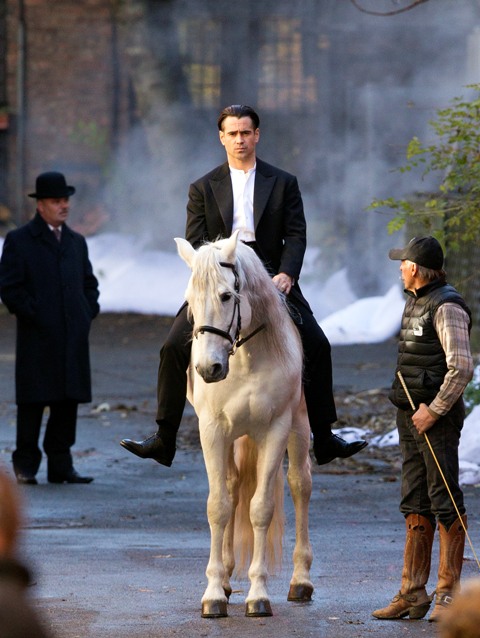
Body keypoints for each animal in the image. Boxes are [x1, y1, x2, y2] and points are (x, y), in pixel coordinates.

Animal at [174, 231, 314, 620]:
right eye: (190, 301)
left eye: (226, 296)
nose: (208, 369)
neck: (247, 360)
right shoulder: (212, 431)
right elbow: (219, 506)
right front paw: (213, 594)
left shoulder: (276, 429)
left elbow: (260, 508)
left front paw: (258, 595)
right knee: (233, 487)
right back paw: (224, 576)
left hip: (299, 427)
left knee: (300, 485)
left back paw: (301, 580)